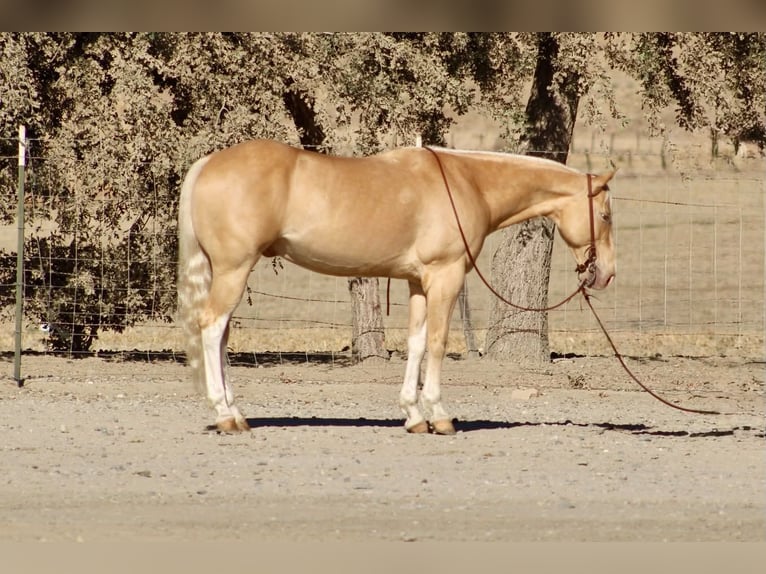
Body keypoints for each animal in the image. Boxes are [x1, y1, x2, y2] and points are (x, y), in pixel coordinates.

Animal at [177, 139, 616, 434]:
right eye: (606, 215)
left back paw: (235, 412)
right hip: (234, 269)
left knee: (220, 335)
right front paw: (440, 415)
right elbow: (437, 342)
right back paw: (224, 415)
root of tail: (207, 163)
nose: (606, 274)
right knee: (212, 328)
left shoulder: (418, 282)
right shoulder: (445, 276)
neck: (468, 183)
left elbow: (416, 344)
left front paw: (414, 415)